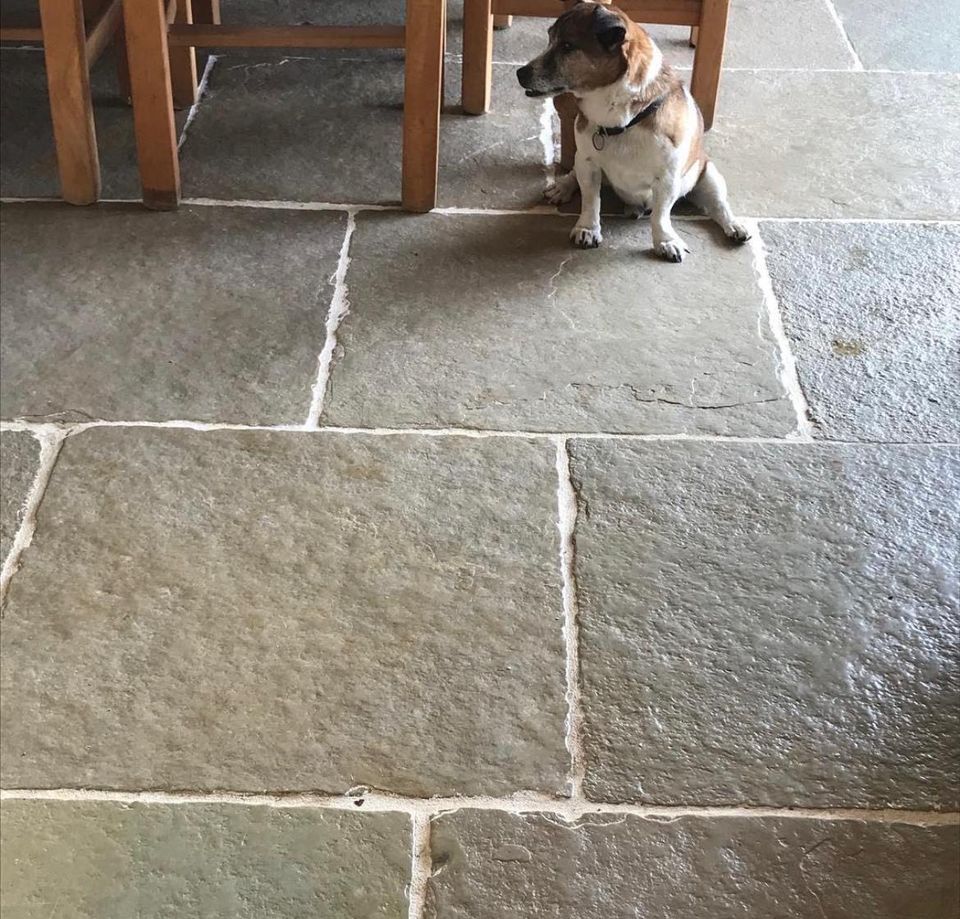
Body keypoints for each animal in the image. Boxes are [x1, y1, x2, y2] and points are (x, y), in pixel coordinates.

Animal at [516, 3, 752, 262]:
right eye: (550, 38)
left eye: (567, 46)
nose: (520, 73)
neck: (621, 121)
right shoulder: (588, 163)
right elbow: (591, 200)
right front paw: (587, 228)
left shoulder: (667, 178)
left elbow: (660, 214)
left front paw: (666, 241)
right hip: (580, 160)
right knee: (573, 175)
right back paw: (563, 187)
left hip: (709, 175)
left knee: (718, 206)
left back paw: (735, 225)